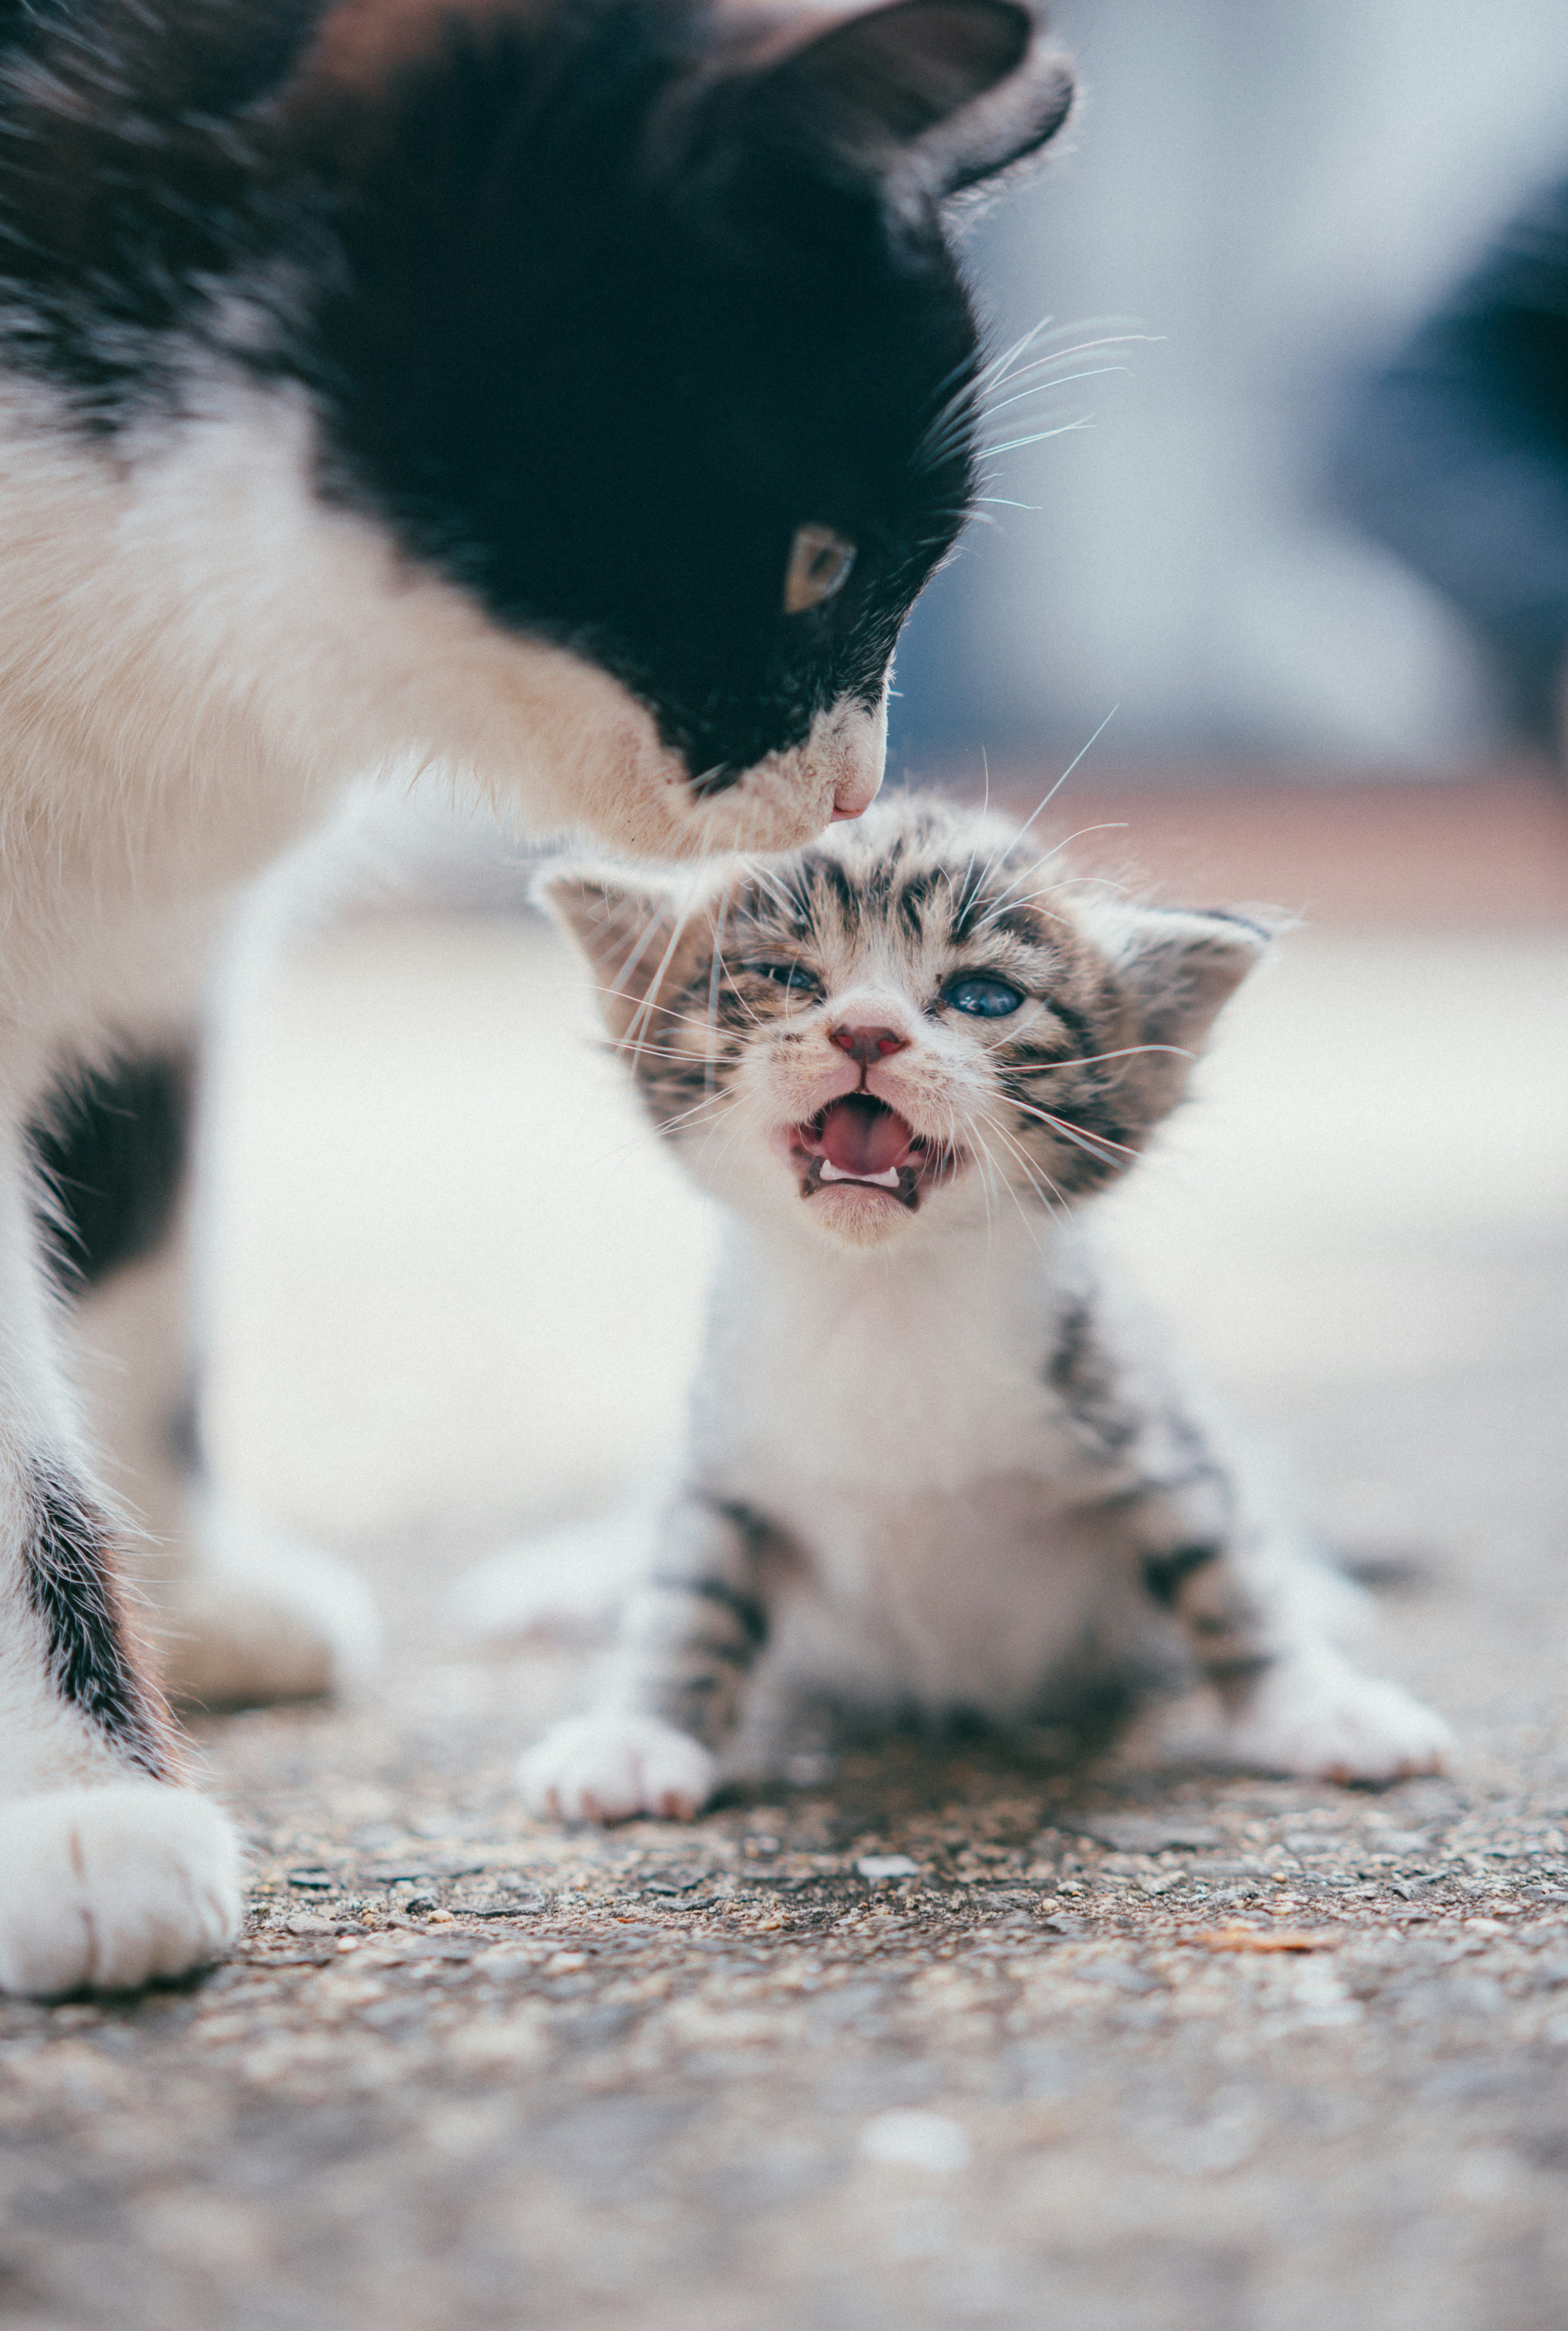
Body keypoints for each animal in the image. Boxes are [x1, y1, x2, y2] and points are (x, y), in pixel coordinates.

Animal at [0, 0, 1071, 1995]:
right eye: (814, 556)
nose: (850, 792)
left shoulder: (141, 930)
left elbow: (136, 1234)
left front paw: (198, 1592)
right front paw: (73, 1811)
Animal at [508, 801, 1454, 1818]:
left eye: (986, 997)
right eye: (788, 977)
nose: (868, 1032)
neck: (887, 1297)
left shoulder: (1138, 1409)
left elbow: (1225, 1568)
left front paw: (1319, 1707)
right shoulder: (728, 1447)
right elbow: (689, 1588)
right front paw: (638, 1731)